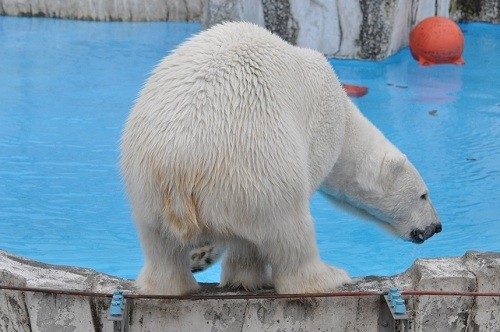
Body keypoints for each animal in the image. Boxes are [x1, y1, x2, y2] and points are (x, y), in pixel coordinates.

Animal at [121, 22, 442, 294]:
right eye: (423, 195)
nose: (436, 227)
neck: (345, 117)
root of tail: (178, 167)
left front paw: (213, 260)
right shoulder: (319, 129)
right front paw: (243, 276)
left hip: (145, 186)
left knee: (159, 242)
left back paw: (172, 284)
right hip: (254, 172)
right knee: (288, 228)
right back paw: (328, 276)